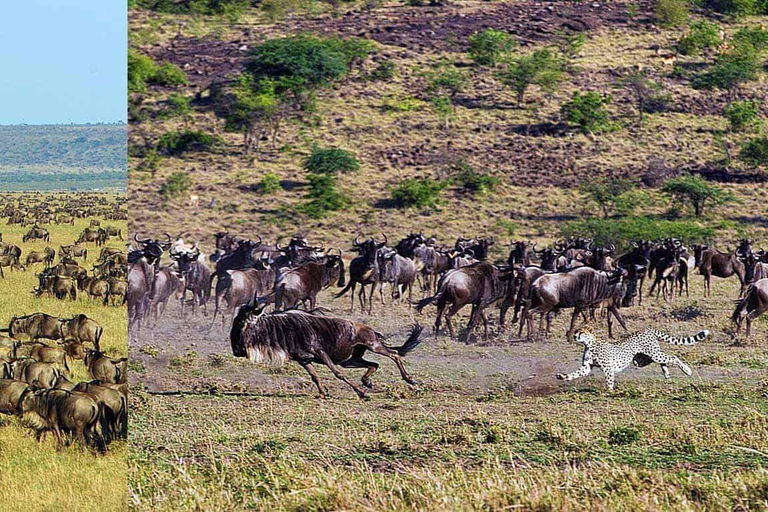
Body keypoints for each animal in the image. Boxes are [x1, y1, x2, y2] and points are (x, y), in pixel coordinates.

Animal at [552, 326, 708, 390]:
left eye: (581, 332)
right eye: (576, 331)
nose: (574, 335)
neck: (589, 344)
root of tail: (648, 329)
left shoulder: (607, 368)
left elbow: (609, 380)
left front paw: (609, 391)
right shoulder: (587, 367)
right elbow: (576, 373)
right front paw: (563, 376)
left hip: (652, 353)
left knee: (673, 357)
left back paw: (687, 370)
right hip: (641, 359)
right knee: (663, 360)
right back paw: (667, 374)